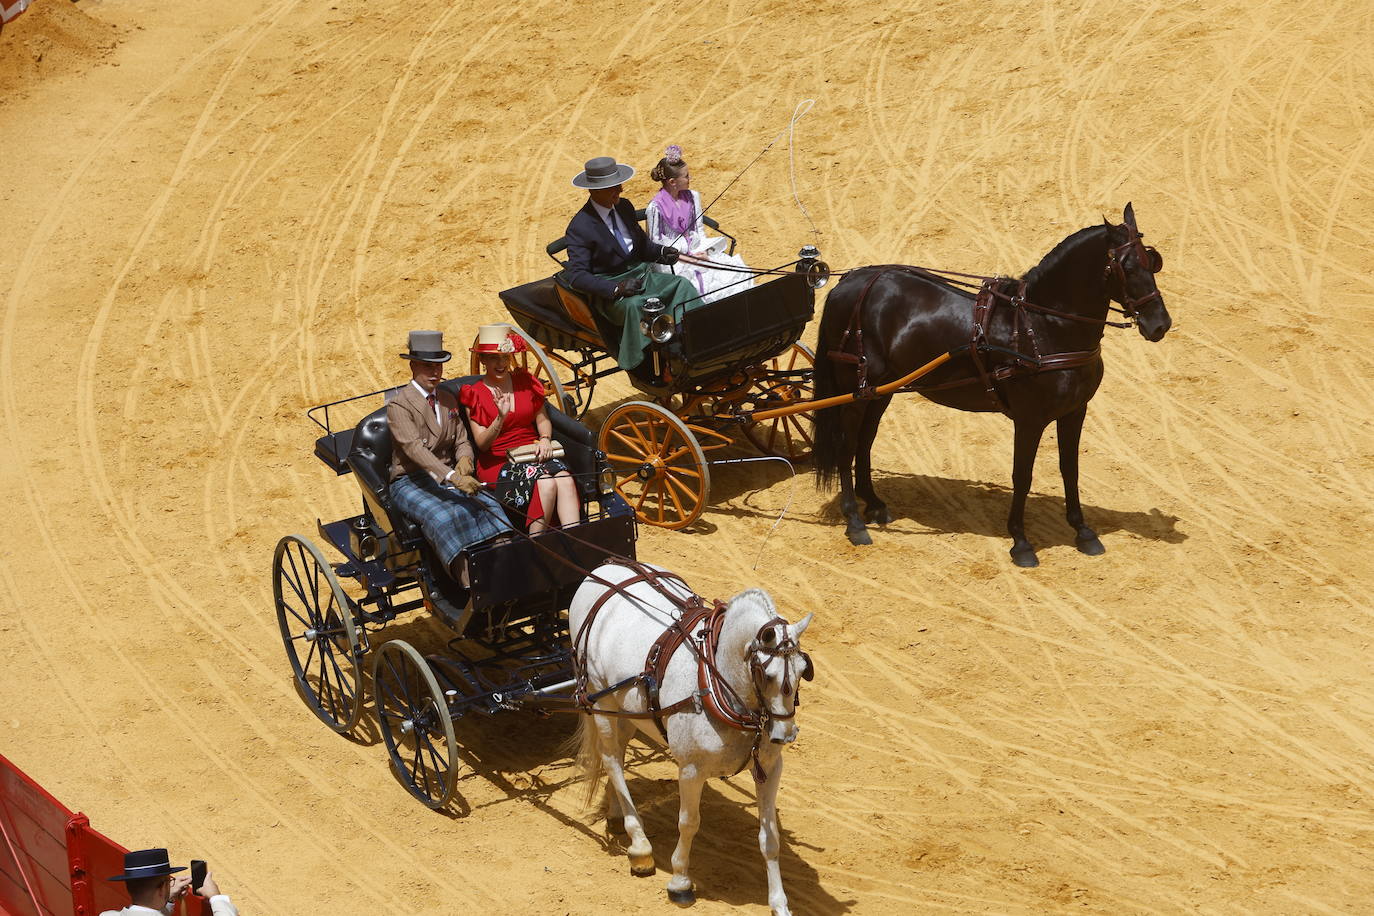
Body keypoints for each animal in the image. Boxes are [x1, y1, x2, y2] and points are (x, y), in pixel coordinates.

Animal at [563, 560, 807, 916]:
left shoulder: (770, 768)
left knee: (617, 755)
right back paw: (640, 845)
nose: (784, 735)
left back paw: (618, 812)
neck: (717, 683)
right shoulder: (691, 770)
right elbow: (689, 822)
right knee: (611, 759)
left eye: (804, 669)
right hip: (600, 699)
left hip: (628, 711)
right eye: (767, 674)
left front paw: (779, 902)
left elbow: (770, 837)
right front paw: (680, 881)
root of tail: (603, 568)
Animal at [807, 204, 1176, 565]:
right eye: (1127, 268)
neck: (1043, 325)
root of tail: (851, 282)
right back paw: (855, 521)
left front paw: (1083, 532)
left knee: (865, 441)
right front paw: (1021, 542)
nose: (1160, 324)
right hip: (855, 391)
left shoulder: (1075, 411)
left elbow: (1069, 469)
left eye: (1152, 261)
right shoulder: (1030, 419)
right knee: (846, 445)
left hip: (879, 390)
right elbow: (1022, 475)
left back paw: (874, 504)